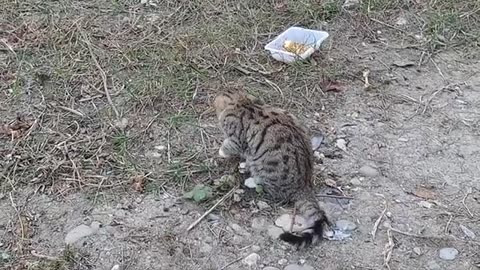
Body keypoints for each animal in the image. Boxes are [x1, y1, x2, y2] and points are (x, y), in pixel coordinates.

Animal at [213, 90, 330, 247]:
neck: (243, 103)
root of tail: (304, 186)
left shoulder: (237, 140)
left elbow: (228, 145)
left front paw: (221, 151)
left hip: (264, 169)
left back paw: (251, 179)